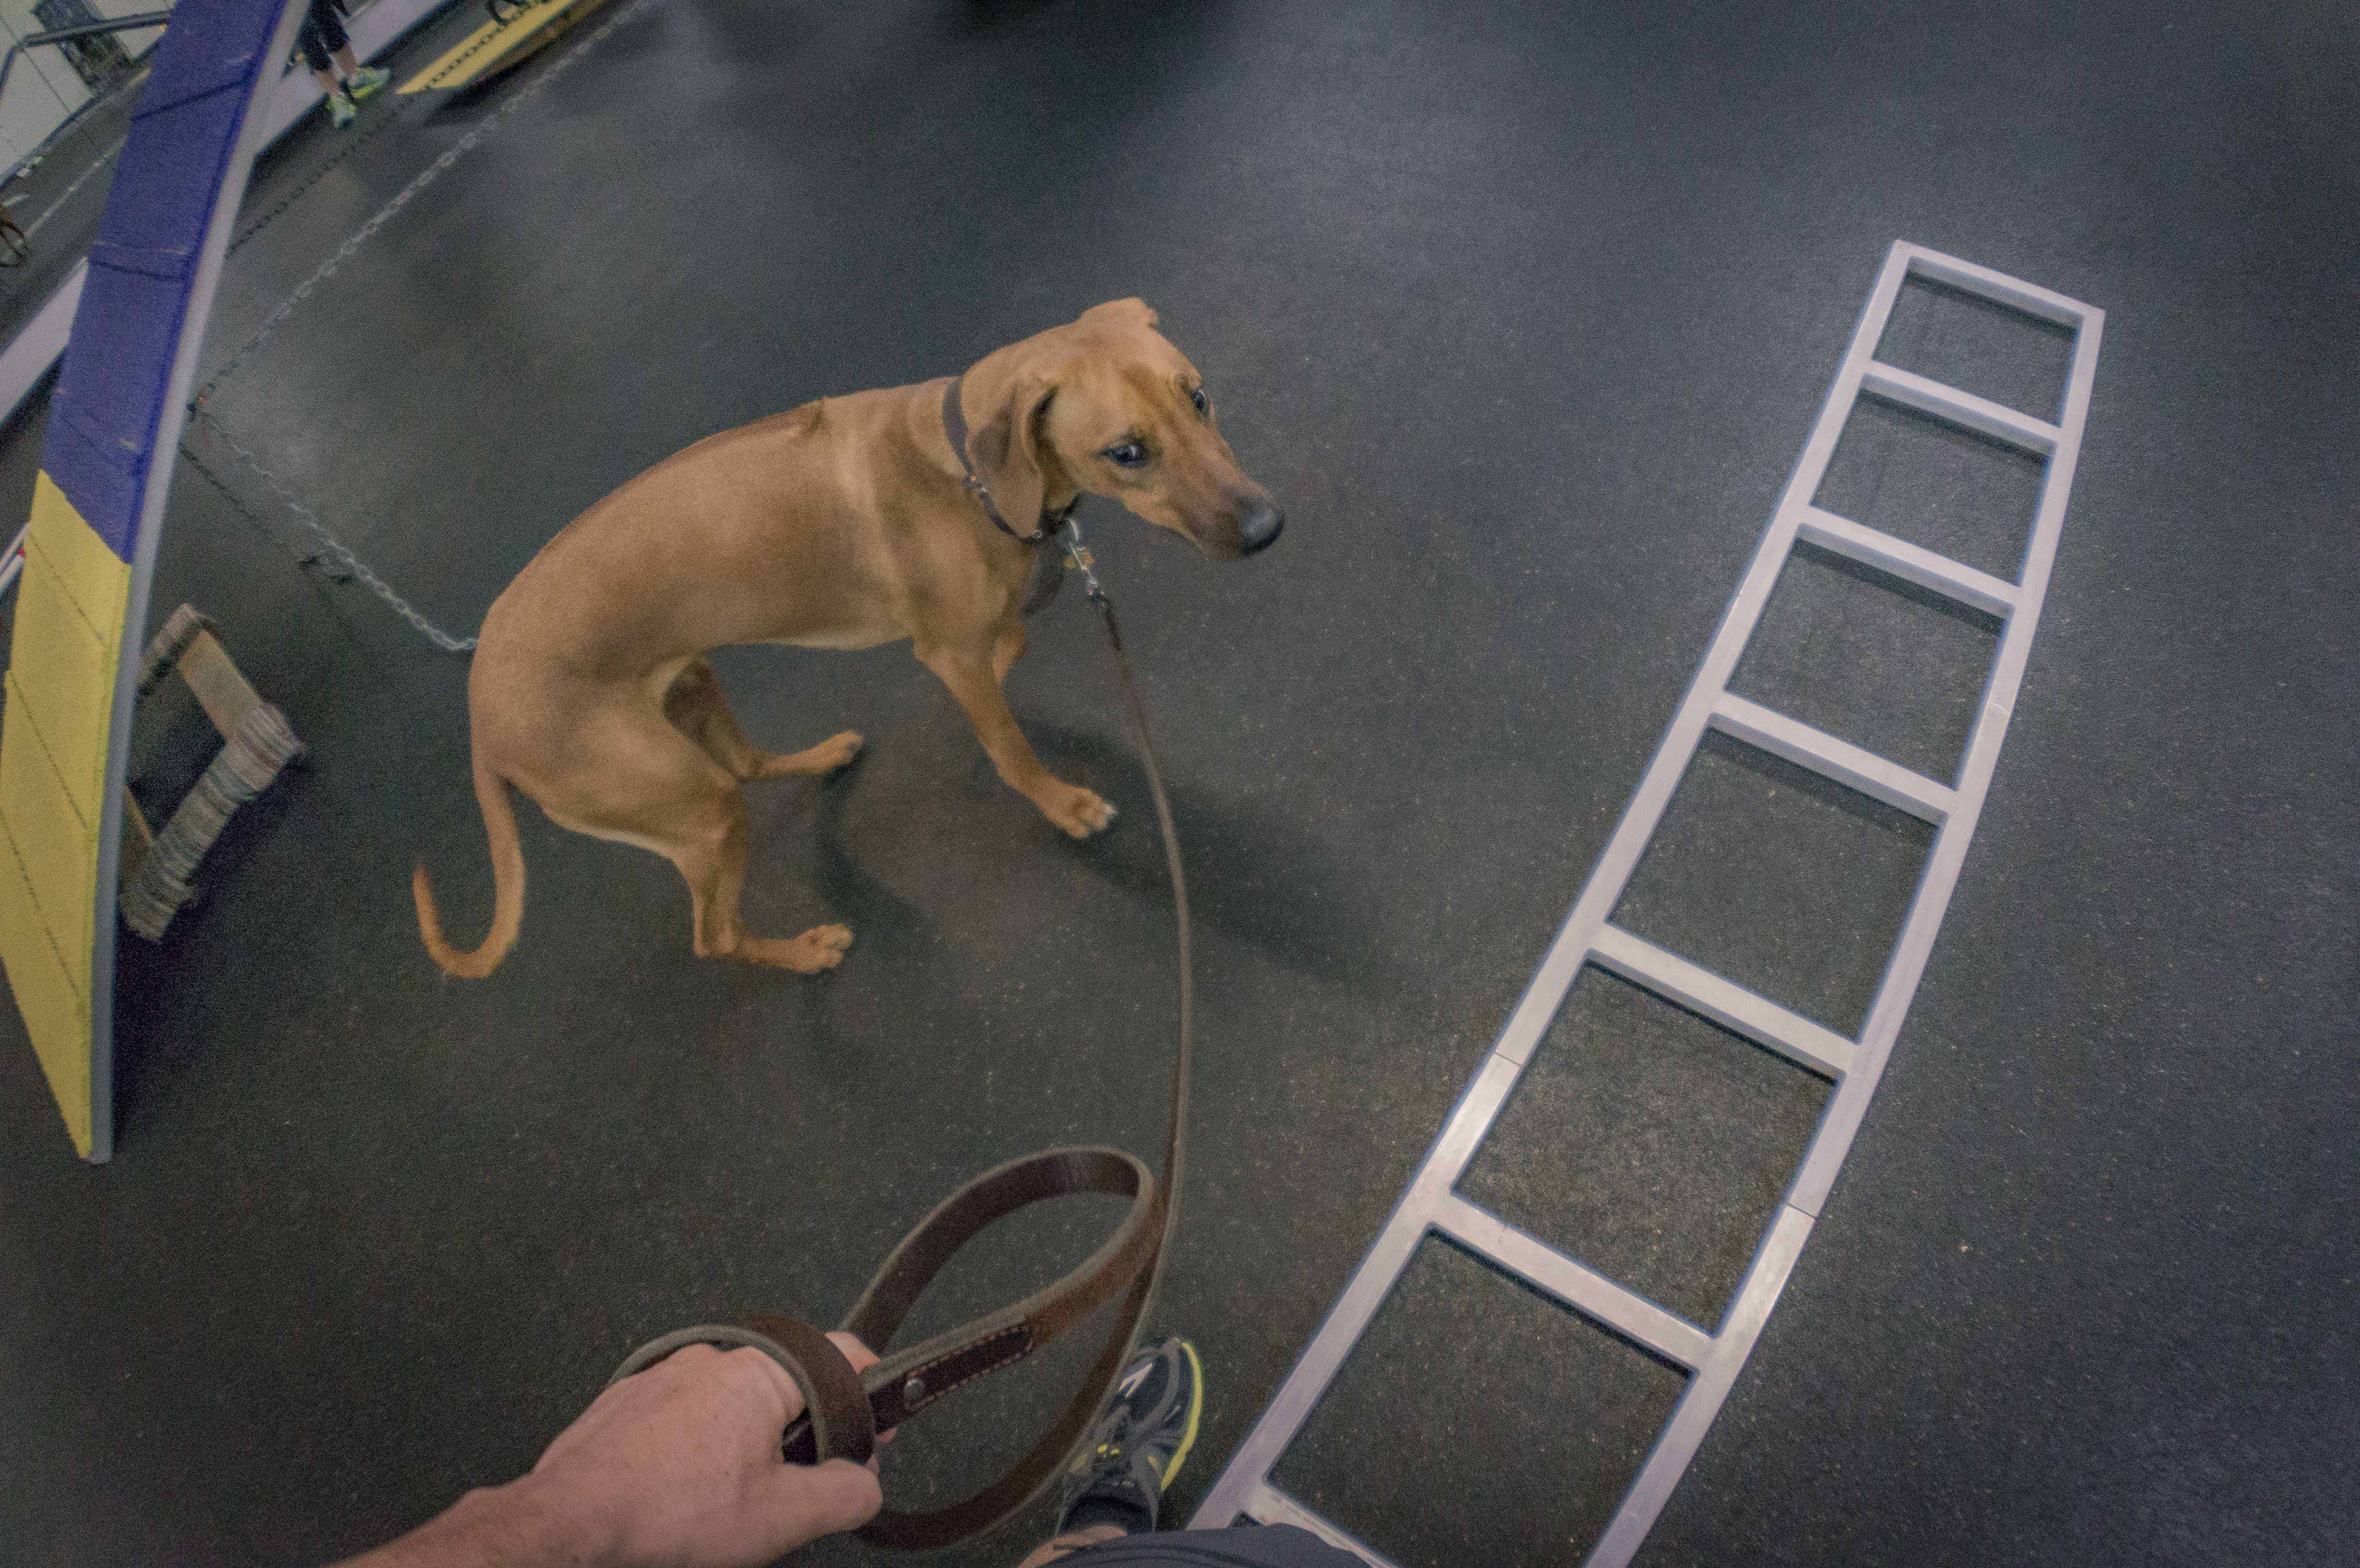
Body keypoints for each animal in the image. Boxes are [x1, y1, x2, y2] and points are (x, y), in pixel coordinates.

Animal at [415, 300, 1284, 973]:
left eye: (1199, 398)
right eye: (1127, 452)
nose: (1266, 529)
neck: (966, 468)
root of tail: (480, 720)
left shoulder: (965, 639)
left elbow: (1007, 648)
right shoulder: (948, 651)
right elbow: (1008, 744)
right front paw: (1061, 801)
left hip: (693, 693)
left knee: (747, 763)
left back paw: (826, 756)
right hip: (687, 802)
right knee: (714, 935)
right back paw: (803, 953)